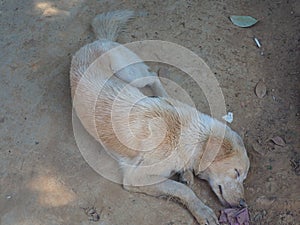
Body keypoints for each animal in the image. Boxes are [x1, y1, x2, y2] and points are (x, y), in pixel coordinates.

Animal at [69, 9, 248, 224]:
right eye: (236, 172)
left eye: (243, 177)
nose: (243, 204)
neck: (187, 136)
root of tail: (97, 41)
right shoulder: (136, 177)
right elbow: (182, 190)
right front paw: (202, 210)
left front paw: (186, 173)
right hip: (130, 72)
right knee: (152, 75)